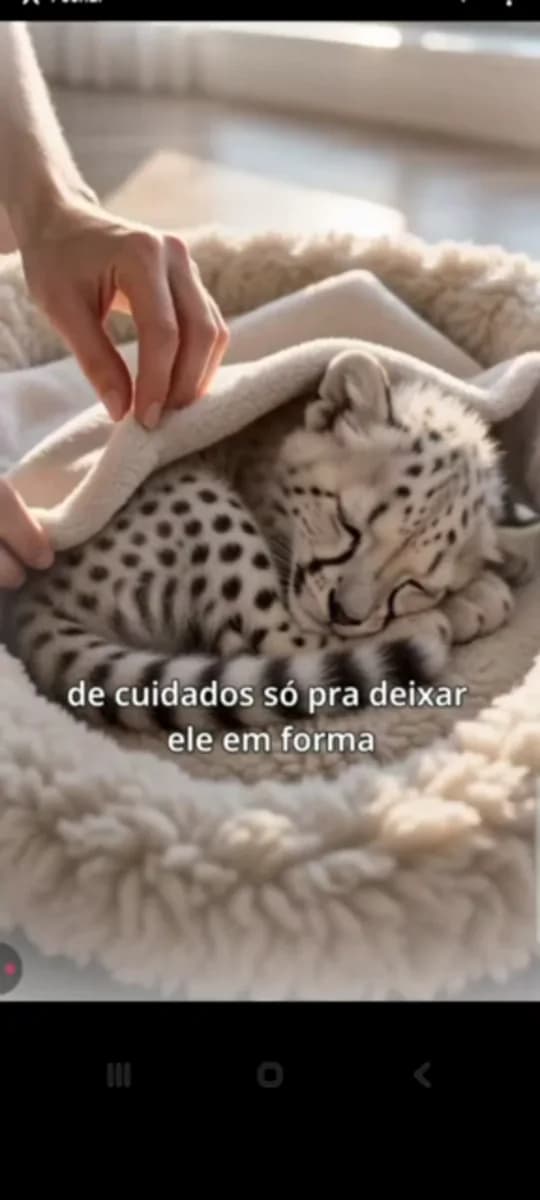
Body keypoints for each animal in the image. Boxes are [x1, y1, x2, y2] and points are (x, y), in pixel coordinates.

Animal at [6, 349, 537, 736]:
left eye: (414, 584)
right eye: (348, 524)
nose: (344, 613)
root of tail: (30, 600)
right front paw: (472, 597)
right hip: (197, 497)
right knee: (274, 641)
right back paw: (432, 625)